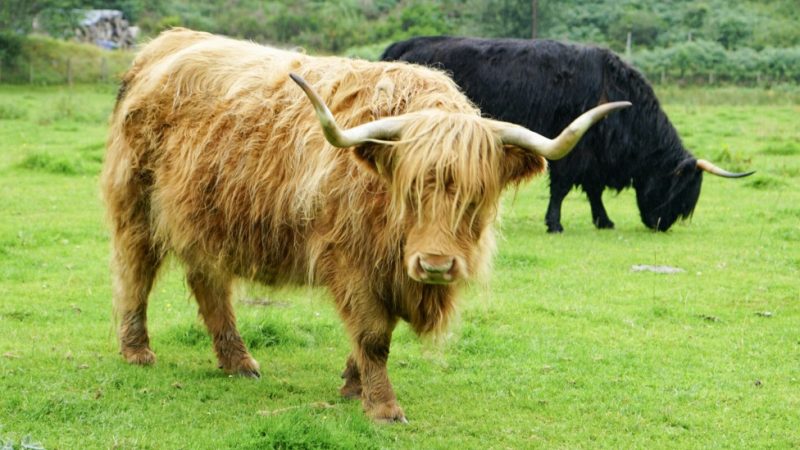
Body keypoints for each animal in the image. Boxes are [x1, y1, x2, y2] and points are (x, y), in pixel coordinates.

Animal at [102, 28, 628, 423]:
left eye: (476, 197)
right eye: (411, 191)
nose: (436, 264)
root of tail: (166, 43)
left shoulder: (387, 269)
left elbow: (373, 334)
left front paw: (353, 386)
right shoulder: (351, 262)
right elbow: (373, 335)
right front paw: (383, 407)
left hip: (204, 221)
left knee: (209, 283)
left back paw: (239, 362)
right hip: (136, 207)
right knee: (135, 274)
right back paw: (137, 351)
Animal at [381, 36, 754, 233]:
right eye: (678, 190)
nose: (661, 224)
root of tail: (402, 46)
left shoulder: (593, 157)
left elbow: (593, 191)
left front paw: (604, 220)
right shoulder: (574, 149)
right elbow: (563, 188)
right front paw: (555, 224)